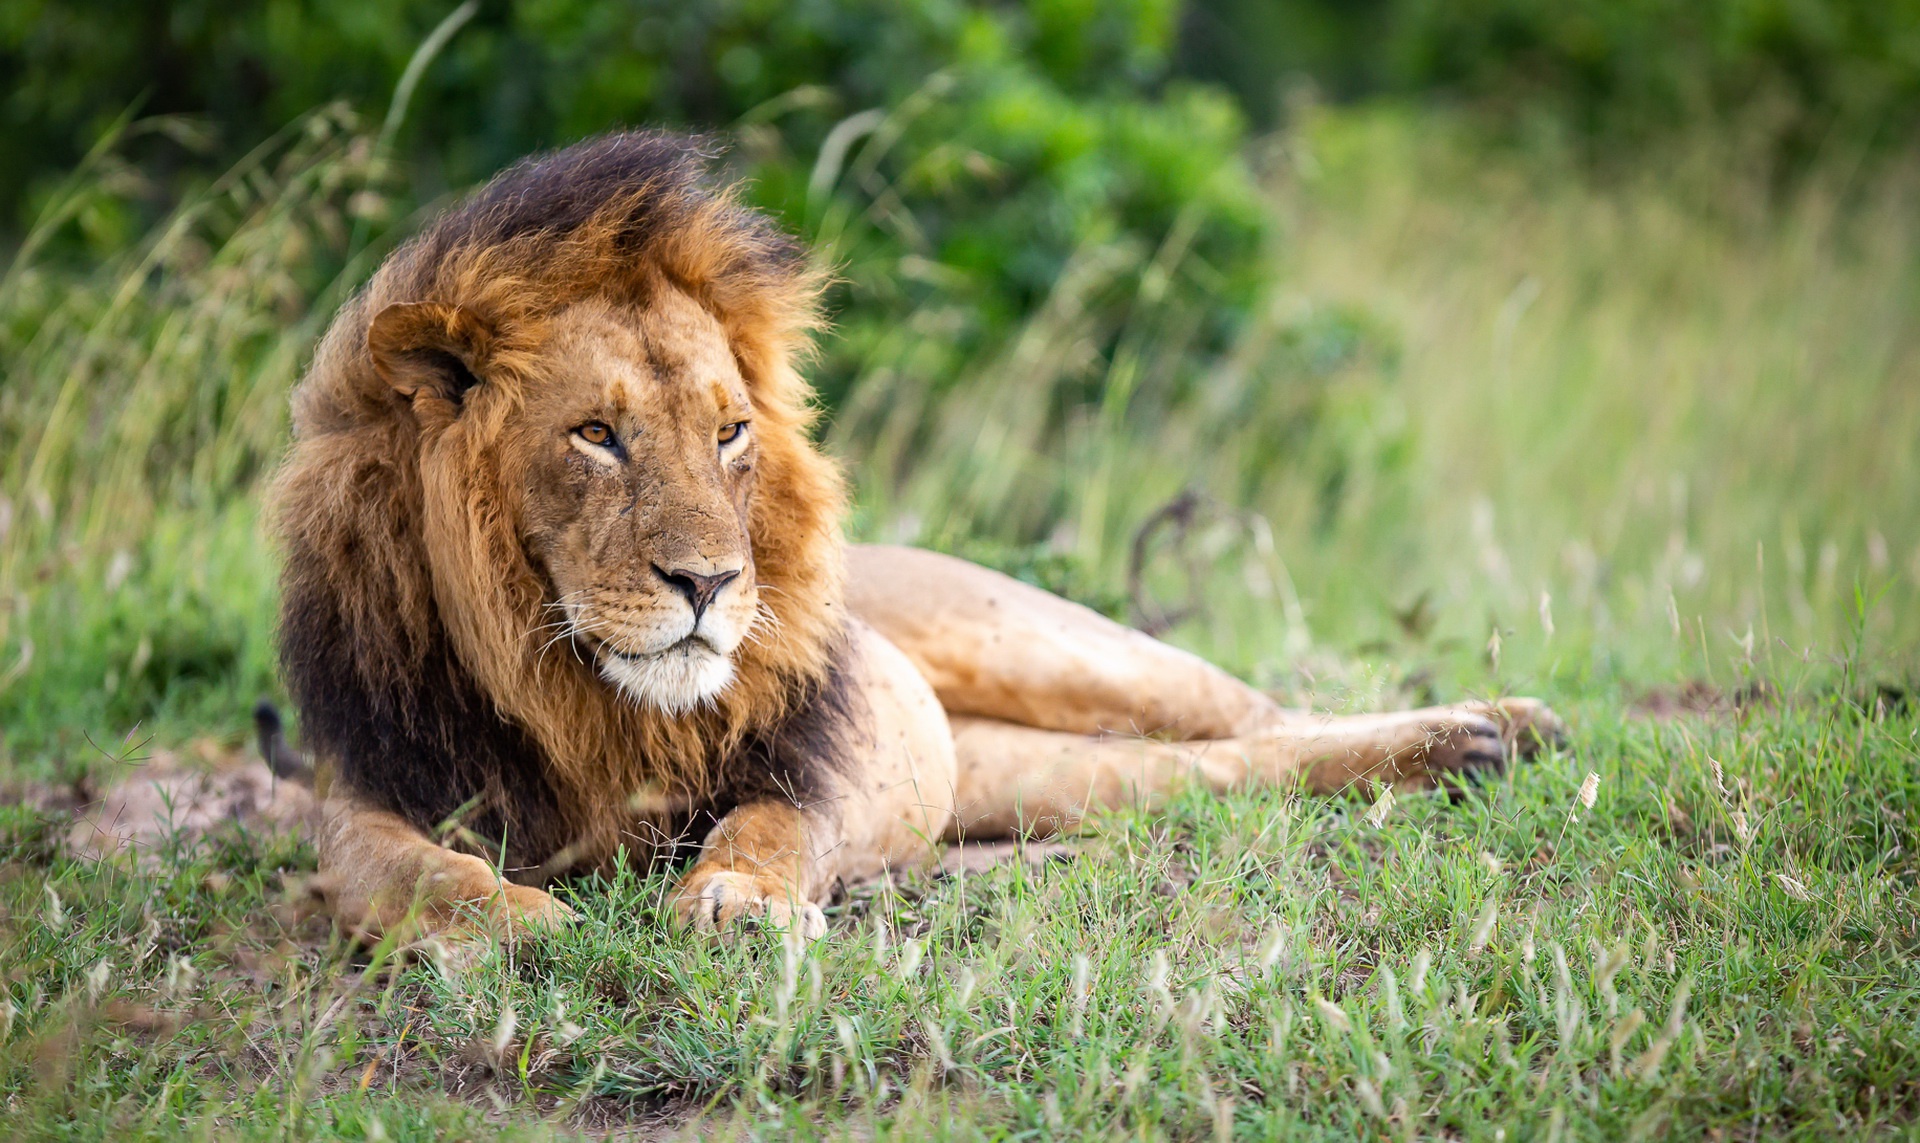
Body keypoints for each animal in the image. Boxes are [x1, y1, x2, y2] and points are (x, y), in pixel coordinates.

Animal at [270, 129, 1559, 945]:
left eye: (730, 433)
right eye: (596, 436)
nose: (711, 583)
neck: (582, 697)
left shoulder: (819, 752)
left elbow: (772, 822)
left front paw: (737, 906)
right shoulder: (368, 788)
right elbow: (401, 872)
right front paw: (512, 926)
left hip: (1056, 646)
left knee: (1260, 714)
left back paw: (1498, 729)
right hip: (1024, 773)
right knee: (1216, 769)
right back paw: (1469, 755)